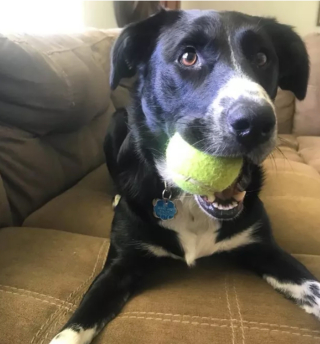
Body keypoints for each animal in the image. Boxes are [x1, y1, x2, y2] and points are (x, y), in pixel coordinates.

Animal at [50, 9, 320, 342]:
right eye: (188, 57)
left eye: (262, 58)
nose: (257, 124)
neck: (190, 202)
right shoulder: (121, 263)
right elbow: (76, 324)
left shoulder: (264, 248)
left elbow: (313, 287)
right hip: (115, 122)